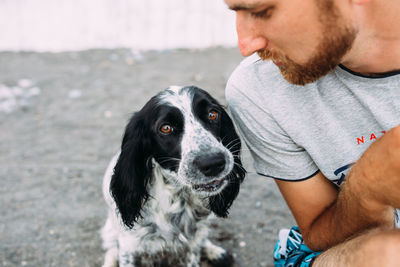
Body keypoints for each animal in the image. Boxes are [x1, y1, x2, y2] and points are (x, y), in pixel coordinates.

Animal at [101, 86, 245, 267]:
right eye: (166, 128)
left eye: (213, 114)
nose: (213, 163)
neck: (177, 195)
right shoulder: (129, 246)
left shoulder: (192, 245)